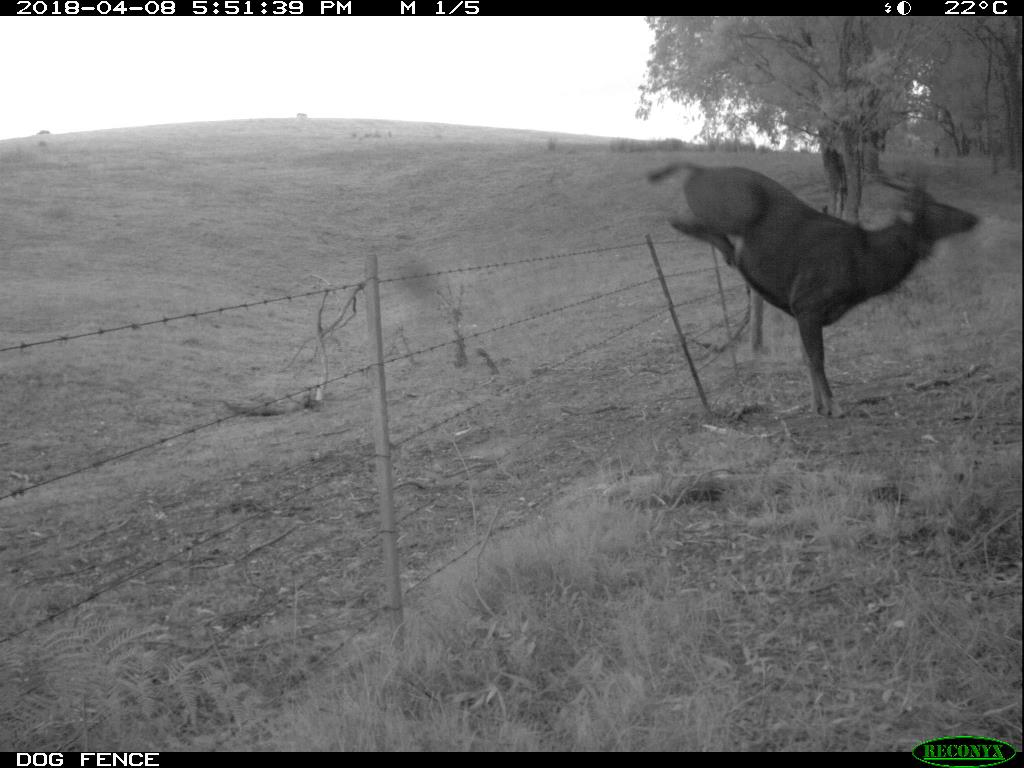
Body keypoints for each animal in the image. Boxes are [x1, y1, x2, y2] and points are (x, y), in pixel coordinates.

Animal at [647, 159, 974, 417]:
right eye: (936, 208)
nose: (972, 217)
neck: (865, 264)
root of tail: (698, 170)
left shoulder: (797, 309)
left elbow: (805, 357)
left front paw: (816, 406)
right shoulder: (808, 303)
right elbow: (817, 358)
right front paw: (834, 406)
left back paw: (731, 253)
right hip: (734, 210)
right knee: (680, 220)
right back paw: (730, 250)